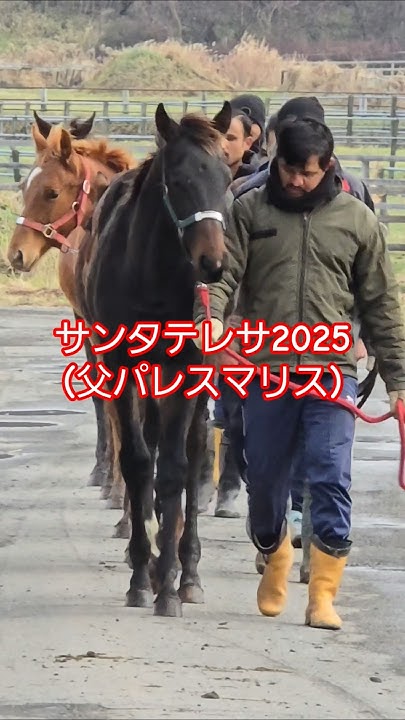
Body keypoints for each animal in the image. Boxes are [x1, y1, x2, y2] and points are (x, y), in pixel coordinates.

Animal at [79, 100, 232, 617]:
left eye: (227, 177)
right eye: (180, 180)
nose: (213, 264)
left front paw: (168, 584)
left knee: (193, 451)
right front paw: (141, 576)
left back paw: (190, 571)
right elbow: (138, 462)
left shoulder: (187, 370)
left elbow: (174, 470)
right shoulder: (119, 366)